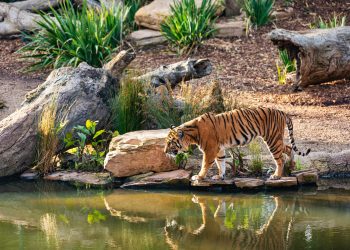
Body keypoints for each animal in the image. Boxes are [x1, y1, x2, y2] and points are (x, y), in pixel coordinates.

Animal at [165, 107, 312, 180]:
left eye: (170, 142)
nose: (165, 152)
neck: (192, 134)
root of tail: (282, 111)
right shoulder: (219, 149)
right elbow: (221, 163)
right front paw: (220, 176)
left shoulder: (210, 150)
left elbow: (205, 164)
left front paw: (199, 177)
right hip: (277, 139)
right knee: (288, 148)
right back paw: (291, 165)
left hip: (272, 139)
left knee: (280, 158)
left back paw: (277, 175)